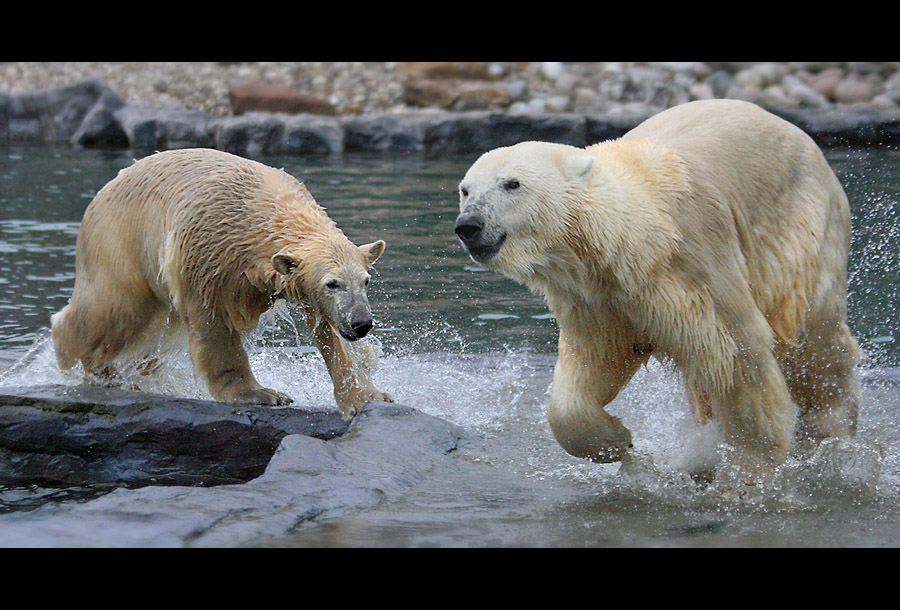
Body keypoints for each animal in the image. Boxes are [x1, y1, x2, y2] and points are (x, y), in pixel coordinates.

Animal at [52, 146, 390, 418]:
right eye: (332, 283)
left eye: (366, 281)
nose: (362, 323)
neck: (260, 214)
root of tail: (101, 193)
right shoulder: (208, 254)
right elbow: (214, 325)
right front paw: (262, 394)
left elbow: (328, 333)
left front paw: (365, 395)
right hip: (123, 244)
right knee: (116, 310)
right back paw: (79, 361)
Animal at [454, 97, 860, 482]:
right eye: (465, 189)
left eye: (512, 184)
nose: (468, 225)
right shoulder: (597, 301)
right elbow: (592, 364)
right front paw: (616, 442)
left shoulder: (692, 268)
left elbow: (736, 355)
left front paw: (749, 472)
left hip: (802, 229)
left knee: (815, 340)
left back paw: (828, 428)